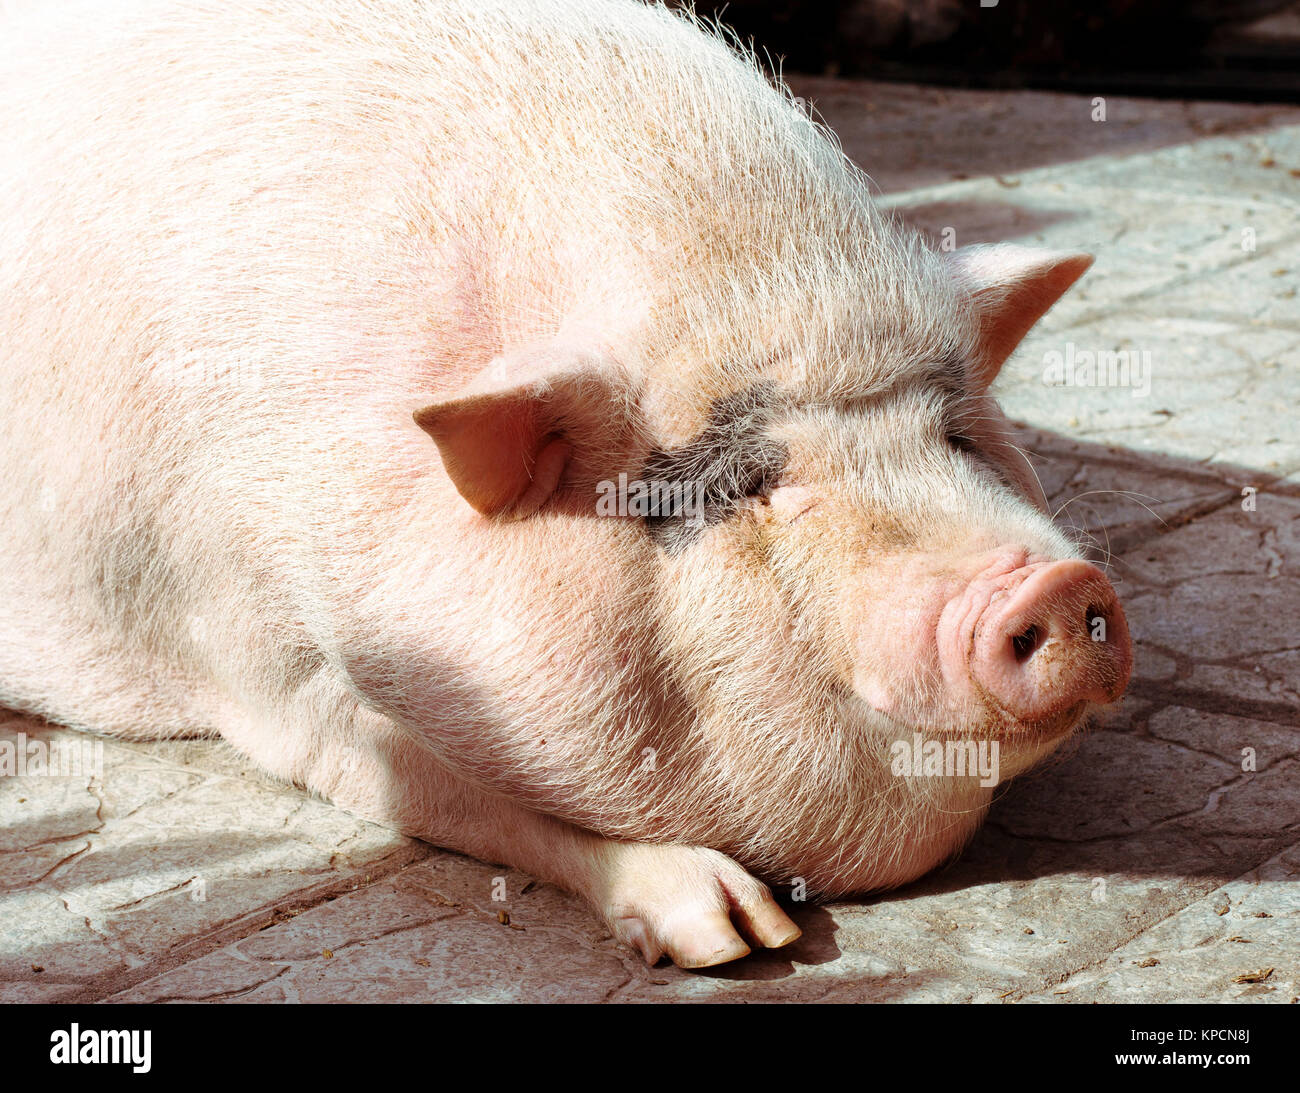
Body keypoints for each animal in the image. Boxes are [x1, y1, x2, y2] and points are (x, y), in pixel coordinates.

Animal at [0, 0, 1131, 968]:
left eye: (954, 437)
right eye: (750, 486)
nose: (1055, 584)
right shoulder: (246, 647)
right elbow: (431, 786)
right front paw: (739, 938)